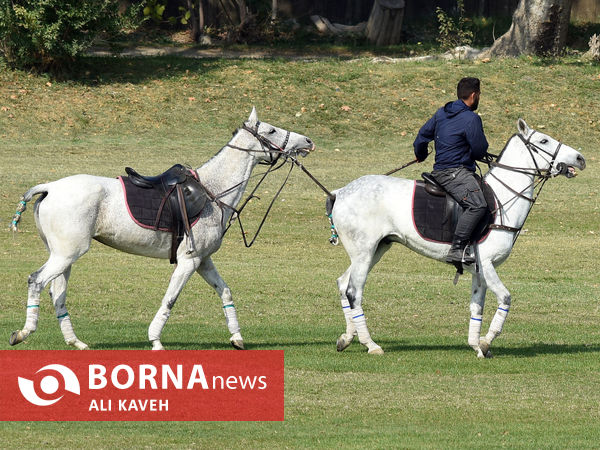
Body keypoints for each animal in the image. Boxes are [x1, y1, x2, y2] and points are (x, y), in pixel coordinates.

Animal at [9, 109, 314, 352]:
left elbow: (225, 292)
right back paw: (23, 333)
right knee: (37, 281)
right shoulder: (188, 260)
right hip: (67, 253)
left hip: (64, 255)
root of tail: (50, 187)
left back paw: (76, 342)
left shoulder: (204, 260)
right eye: (271, 130)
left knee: (57, 292)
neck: (212, 191)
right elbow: (170, 299)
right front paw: (155, 340)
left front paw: (237, 338)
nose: (308, 142)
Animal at [328, 119, 584, 358]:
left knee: (343, 283)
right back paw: (370, 344)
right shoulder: (487, 264)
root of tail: (339, 192)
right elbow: (505, 298)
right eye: (543, 140)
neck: (503, 199)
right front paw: (485, 342)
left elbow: (476, 309)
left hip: (376, 249)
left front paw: (477, 346)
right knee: (354, 291)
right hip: (364, 251)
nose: (580, 158)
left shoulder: (479, 272)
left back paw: (347, 338)